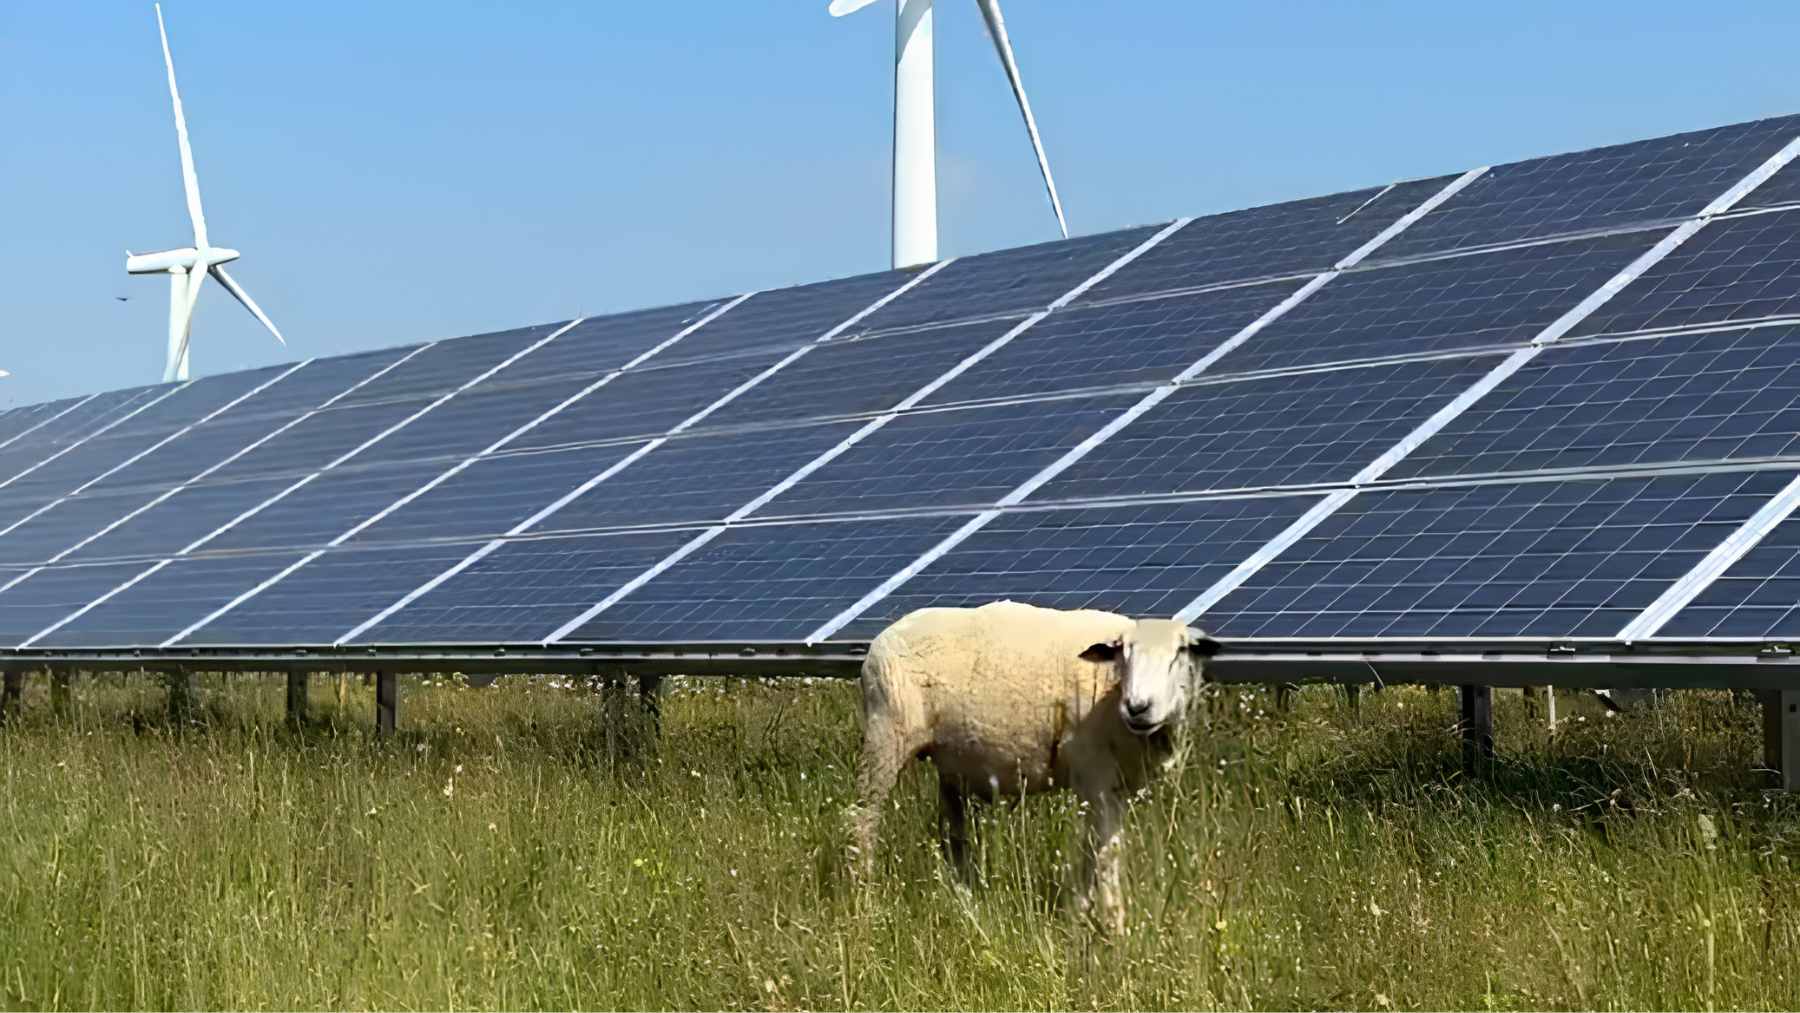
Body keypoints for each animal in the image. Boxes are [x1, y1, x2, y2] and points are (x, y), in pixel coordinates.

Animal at [848, 599, 1220, 934]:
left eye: (1180, 652)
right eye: (1122, 655)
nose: (1138, 707)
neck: (1111, 691)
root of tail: (884, 637)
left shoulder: (1111, 786)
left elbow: (1093, 848)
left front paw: (1079, 914)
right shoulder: (1094, 774)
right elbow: (1106, 852)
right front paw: (1114, 928)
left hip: (950, 762)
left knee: (953, 833)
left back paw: (964, 897)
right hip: (887, 735)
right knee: (864, 814)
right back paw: (865, 892)